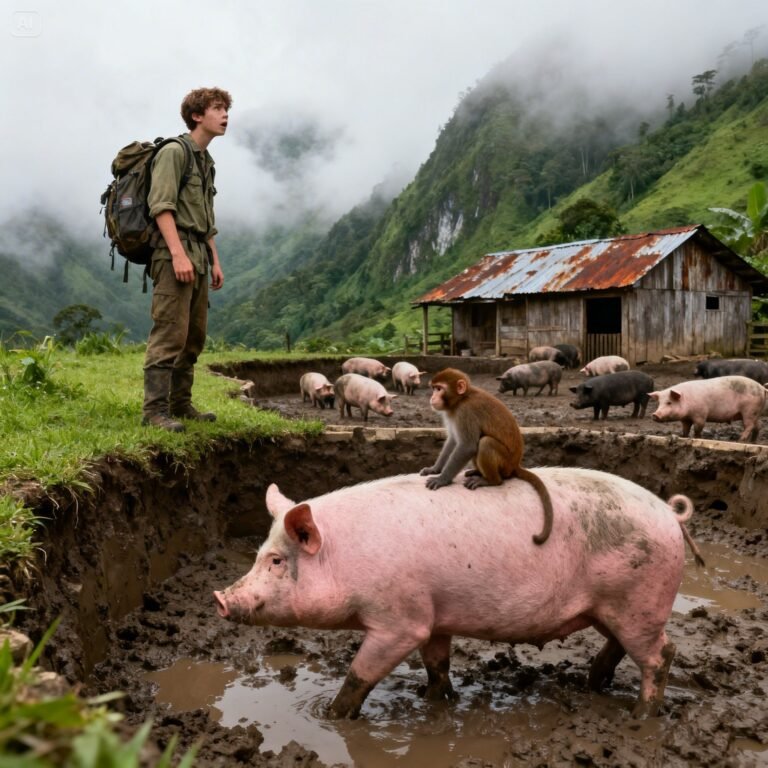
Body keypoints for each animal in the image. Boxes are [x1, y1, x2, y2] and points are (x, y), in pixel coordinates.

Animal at [214, 470, 702, 720]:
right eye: (259, 555)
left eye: (277, 561)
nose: (220, 598)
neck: (345, 555)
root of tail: (668, 513)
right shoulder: (433, 615)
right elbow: (436, 663)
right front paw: (436, 701)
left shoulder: (399, 620)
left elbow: (360, 674)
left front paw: (330, 717)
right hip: (616, 607)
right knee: (621, 645)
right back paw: (592, 684)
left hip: (639, 600)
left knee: (662, 654)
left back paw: (642, 715)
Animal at [420, 367, 553, 545]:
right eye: (434, 388)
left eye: (439, 389)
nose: (432, 397)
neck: (461, 399)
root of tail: (515, 465)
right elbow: (454, 440)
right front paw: (435, 469)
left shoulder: (465, 413)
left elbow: (467, 446)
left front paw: (442, 479)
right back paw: (477, 472)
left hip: (505, 463)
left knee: (485, 443)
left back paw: (490, 480)